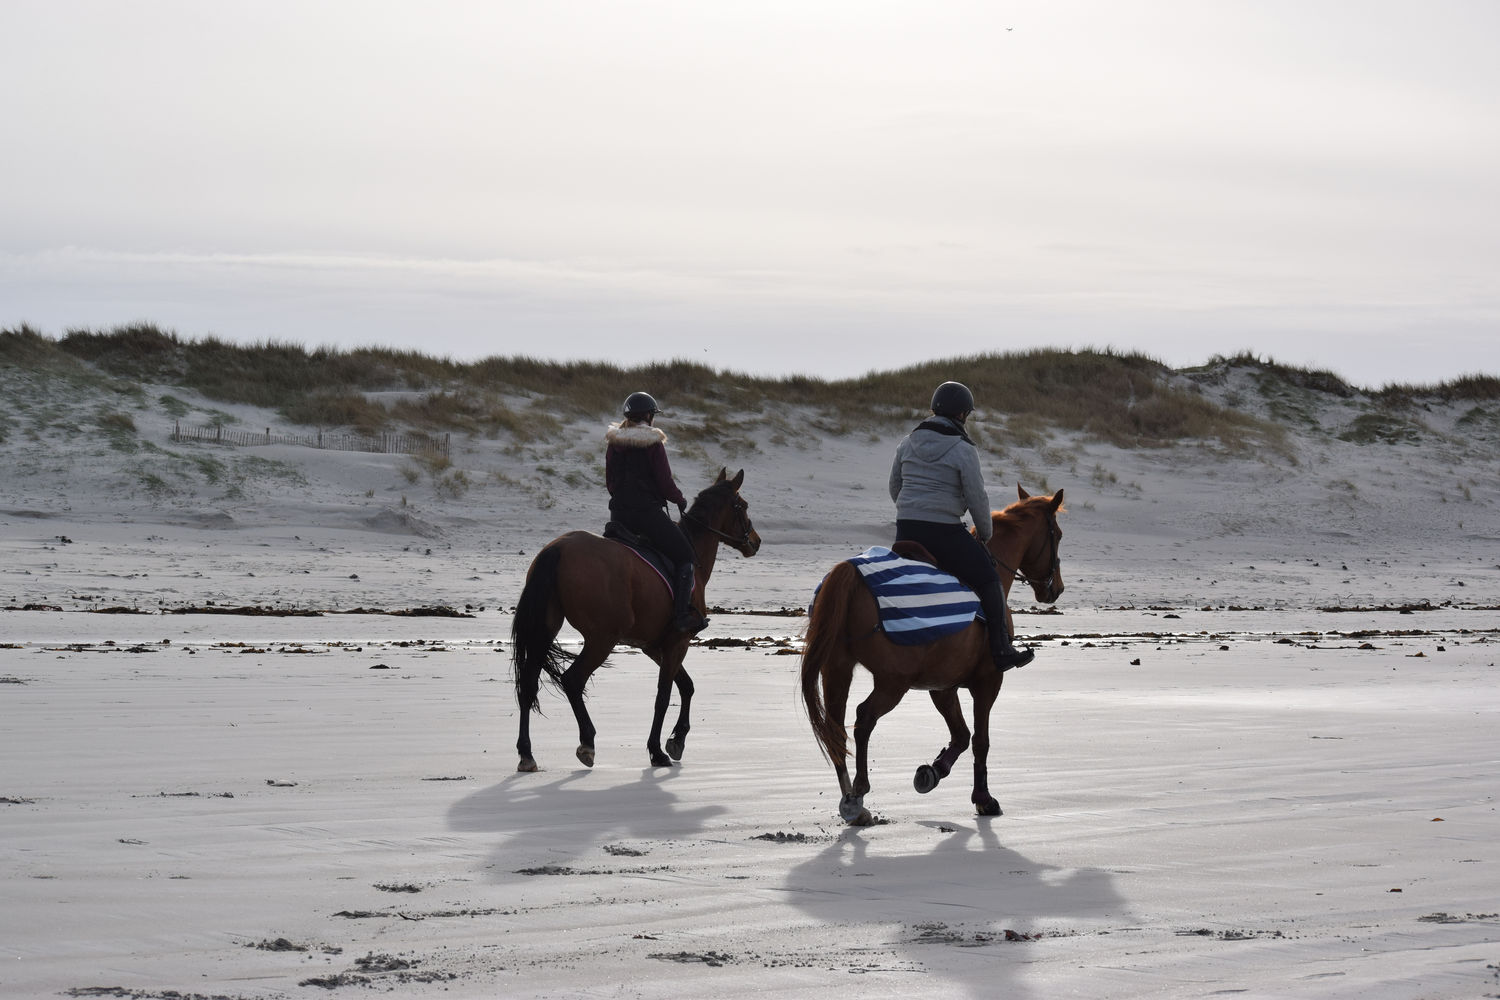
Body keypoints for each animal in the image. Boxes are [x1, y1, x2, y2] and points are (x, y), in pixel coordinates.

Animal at [510, 470, 762, 773]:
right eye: (743, 506)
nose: (756, 541)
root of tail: (559, 548)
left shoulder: (653, 646)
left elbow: (686, 686)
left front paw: (677, 740)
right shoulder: (678, 643)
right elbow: (664, 696)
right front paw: (657, 750)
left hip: (545, 632)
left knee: (528, 686)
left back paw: (527, 754)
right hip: (601, 639)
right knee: (572, 680)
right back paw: (587, 743)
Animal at [804, 488, 1062, 827]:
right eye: (1057, 534)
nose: (1056, 589)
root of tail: (851, 572)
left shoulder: (942, 687)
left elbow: (962, 735)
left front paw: (933, 772)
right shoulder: (989, 681)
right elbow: (980, 740)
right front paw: (983, 799)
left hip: (838, 669)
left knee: (836, 727)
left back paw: (853, 804)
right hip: (892, 682)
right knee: (864, 718)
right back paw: (858, 791)